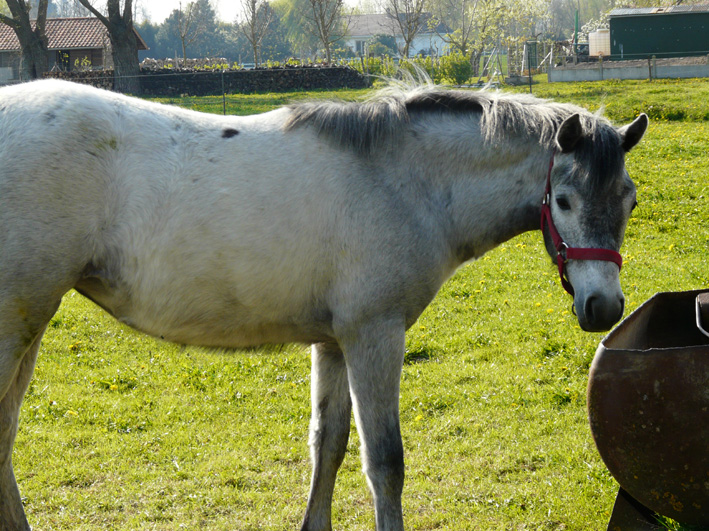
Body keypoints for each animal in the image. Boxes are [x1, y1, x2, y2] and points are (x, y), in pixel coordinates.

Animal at [0, 80, 644, 531]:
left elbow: (327, 447)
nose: (603, 307)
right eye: (563, 199)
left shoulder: (333, 342)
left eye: (629, 199)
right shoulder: (373, 335)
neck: (402, 182)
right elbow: (384, 462)